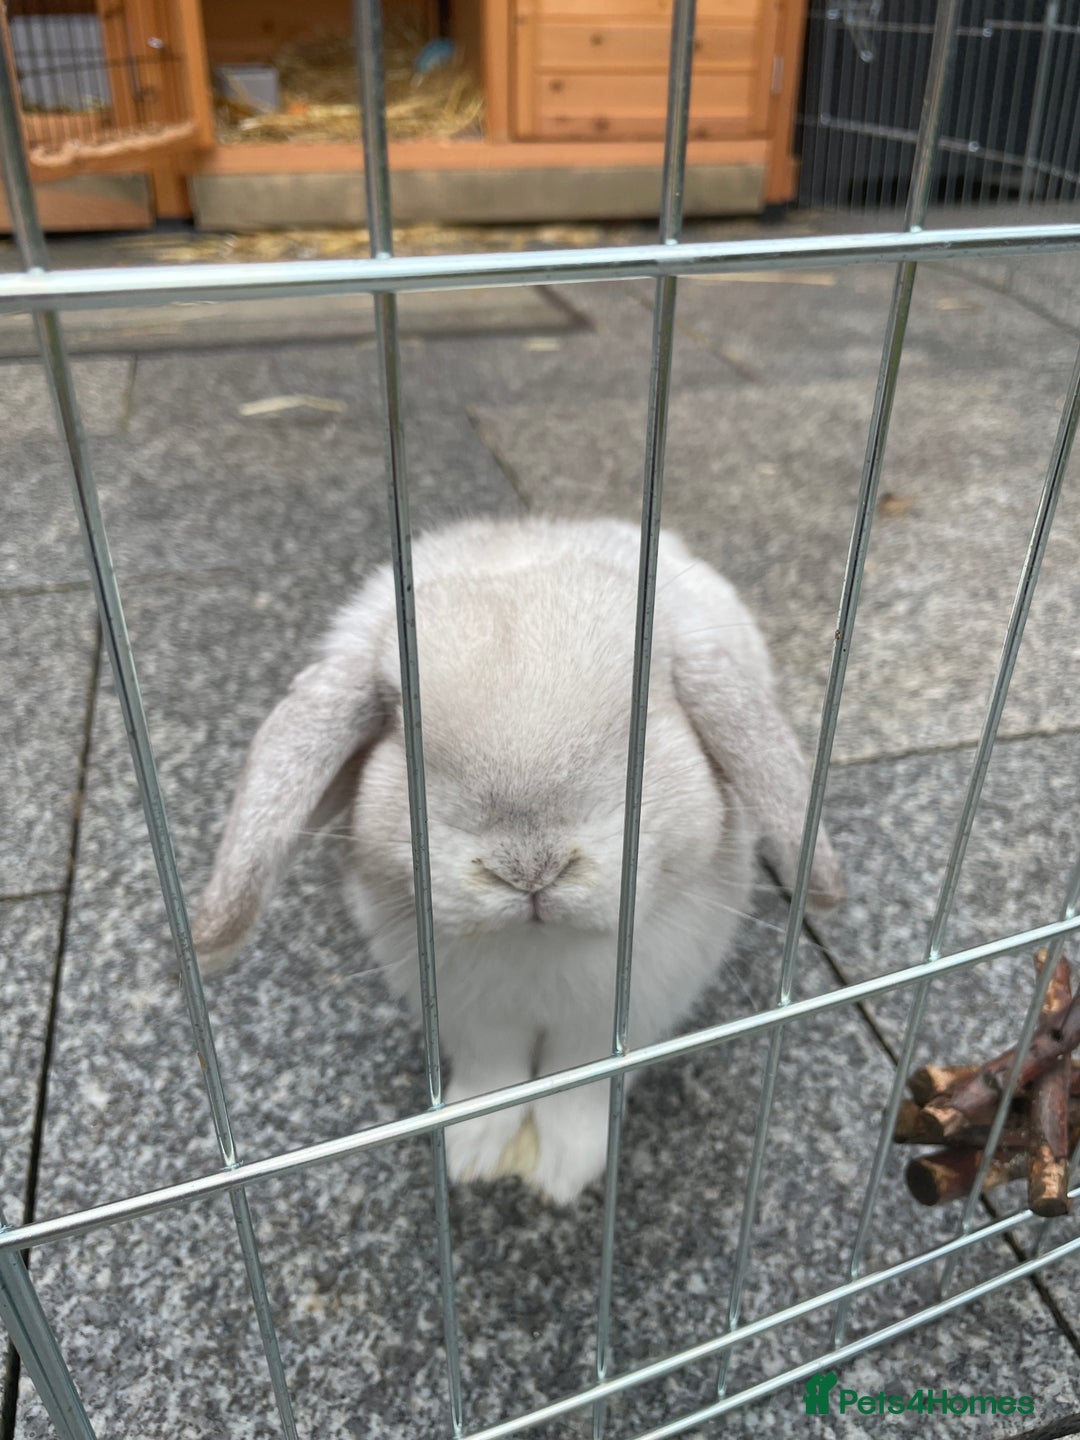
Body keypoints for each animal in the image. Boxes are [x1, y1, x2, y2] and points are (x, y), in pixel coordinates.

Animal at [193, 515, 843, 1205]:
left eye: (645, 715)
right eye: (400, 724)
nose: (529, 870)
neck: (538, 950)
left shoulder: (625, 1015)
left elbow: (582, 1086)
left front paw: (560, 1170)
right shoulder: (469, 1018)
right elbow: (492, 1079)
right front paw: (475, 1155)